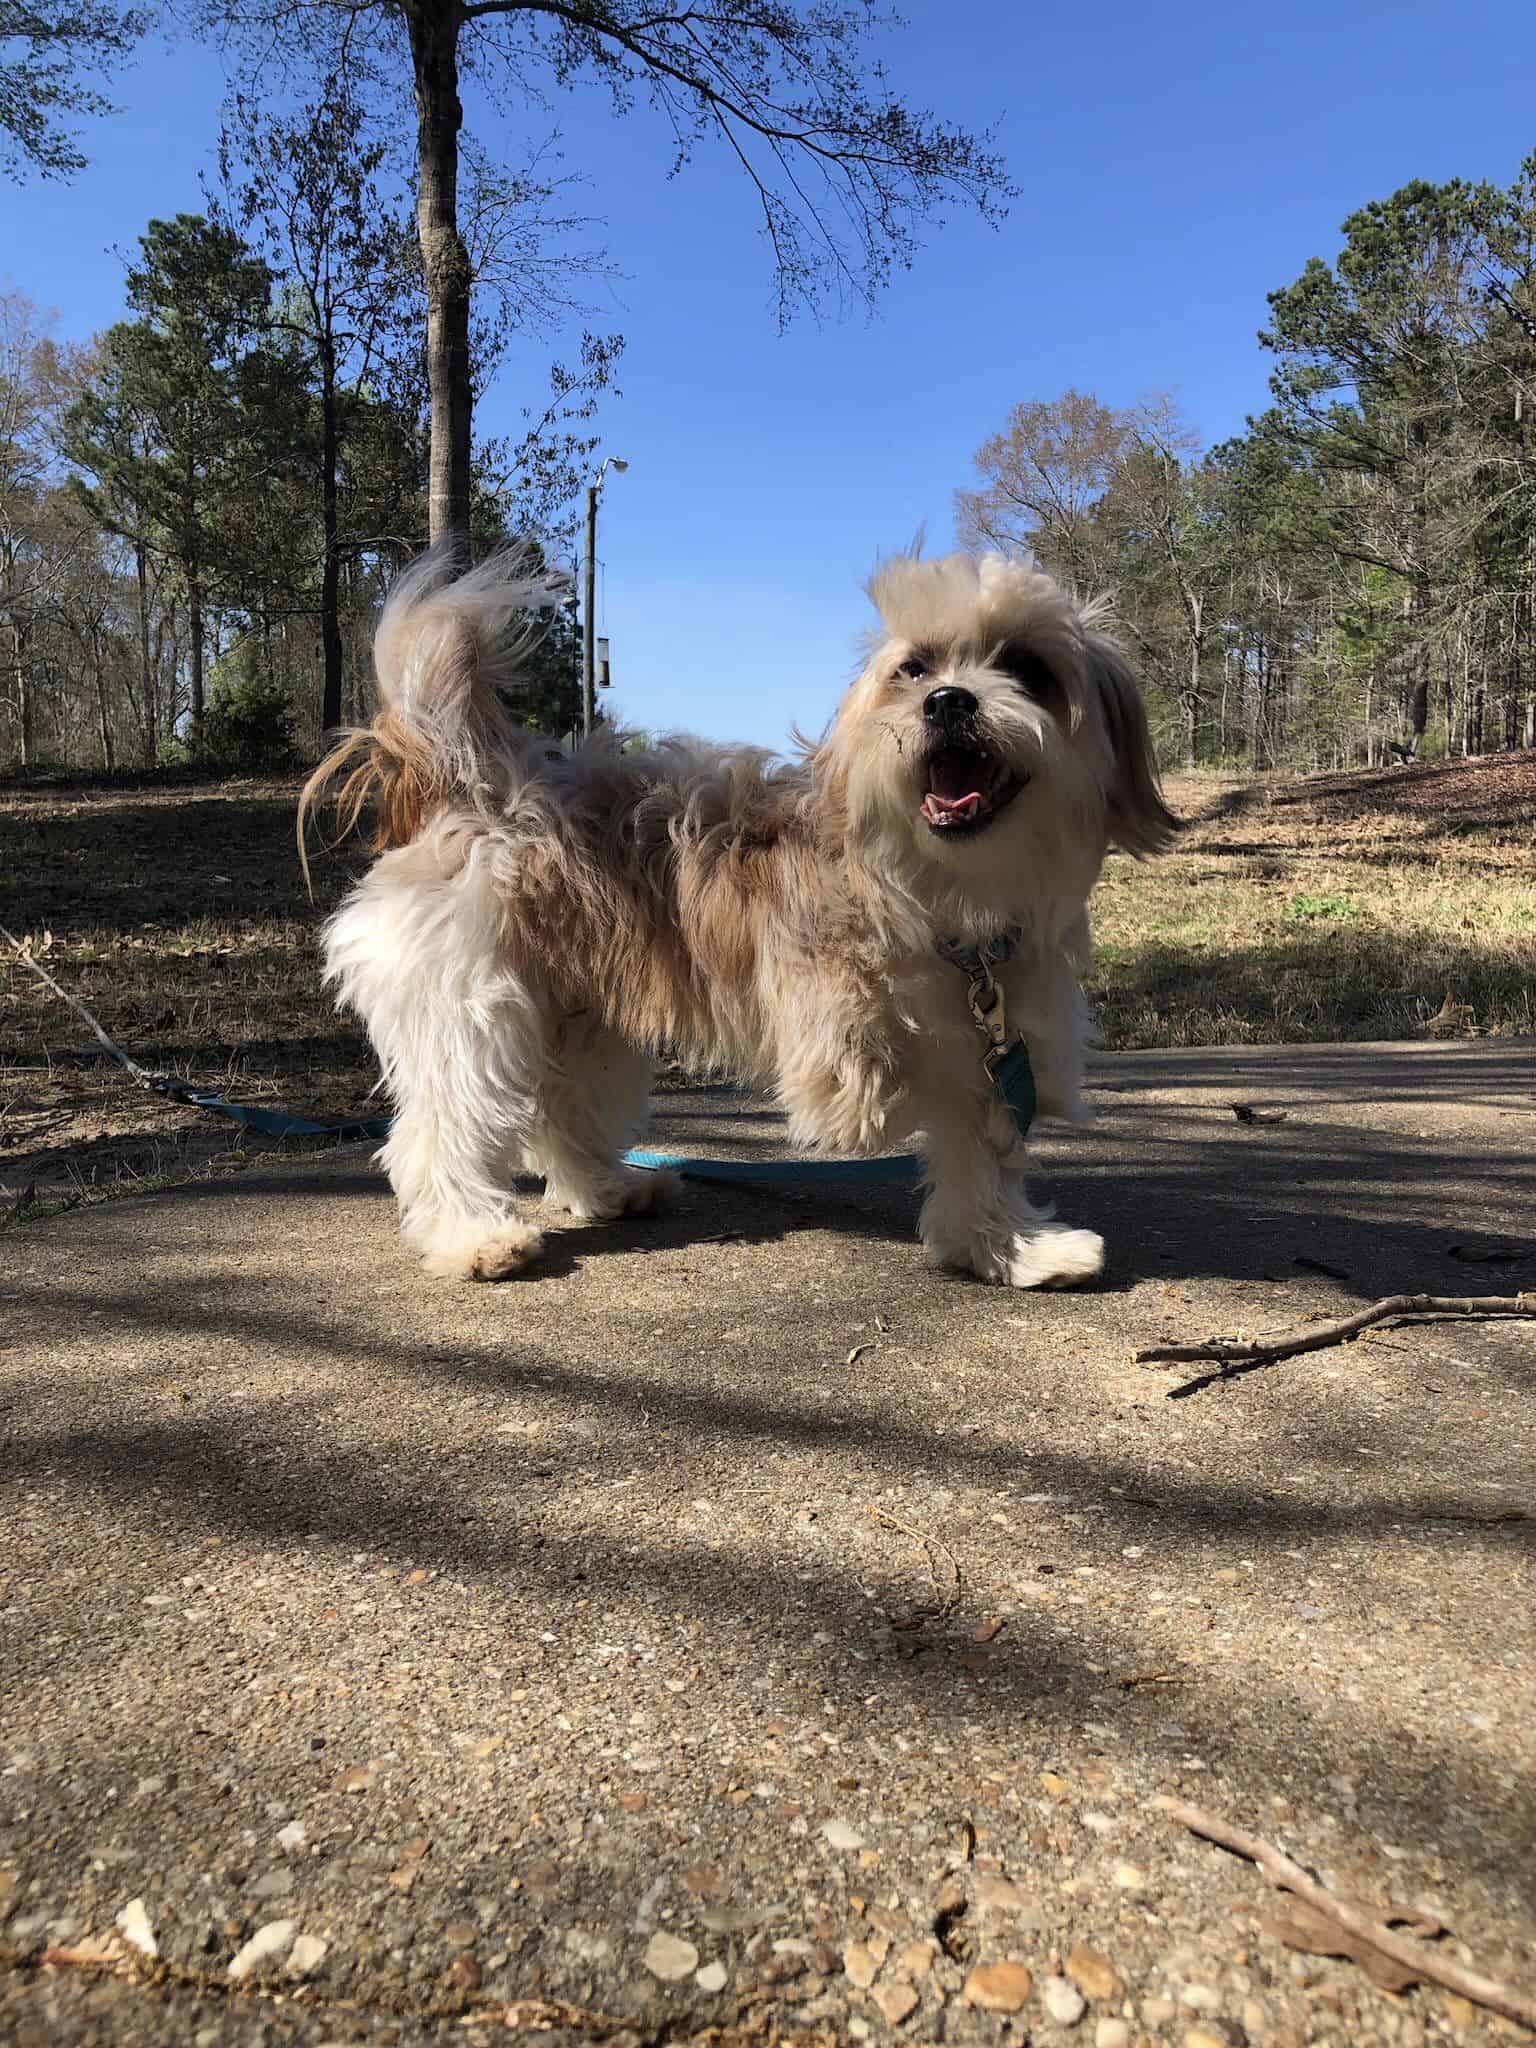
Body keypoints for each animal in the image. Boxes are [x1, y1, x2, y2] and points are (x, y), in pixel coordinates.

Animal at [303, 544, 1179, 1277]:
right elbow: (904, 1098)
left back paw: (609, 1189)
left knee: (562, 1108)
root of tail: (487, 782)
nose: (949, 702)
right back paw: (473, 1237)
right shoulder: (850, 1044)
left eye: (1028, 667)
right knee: (443, 1128)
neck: (939, 888)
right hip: (472, 1013)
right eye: (914, 667)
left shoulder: (1002, 1041)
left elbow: (984, 1140)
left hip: (581, 1014)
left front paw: (1010, 1247)